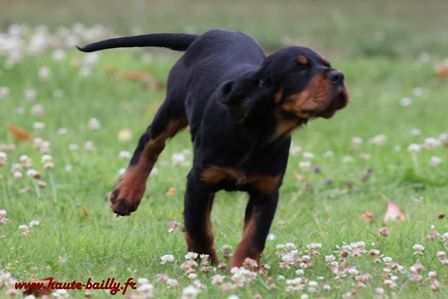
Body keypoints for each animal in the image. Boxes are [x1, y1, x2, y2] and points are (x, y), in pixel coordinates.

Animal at [79, 29, 348, 268]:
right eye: (299, 68)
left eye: (327, 64)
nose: (339, 76)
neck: (258, 132)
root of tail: (207, 34)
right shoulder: (199, 182)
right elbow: (198, 228)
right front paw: (203, 261)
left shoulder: (267, 191)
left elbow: (254, 236)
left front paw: (245, 269)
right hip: (173, 106)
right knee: (151, 141)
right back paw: (127, 193)